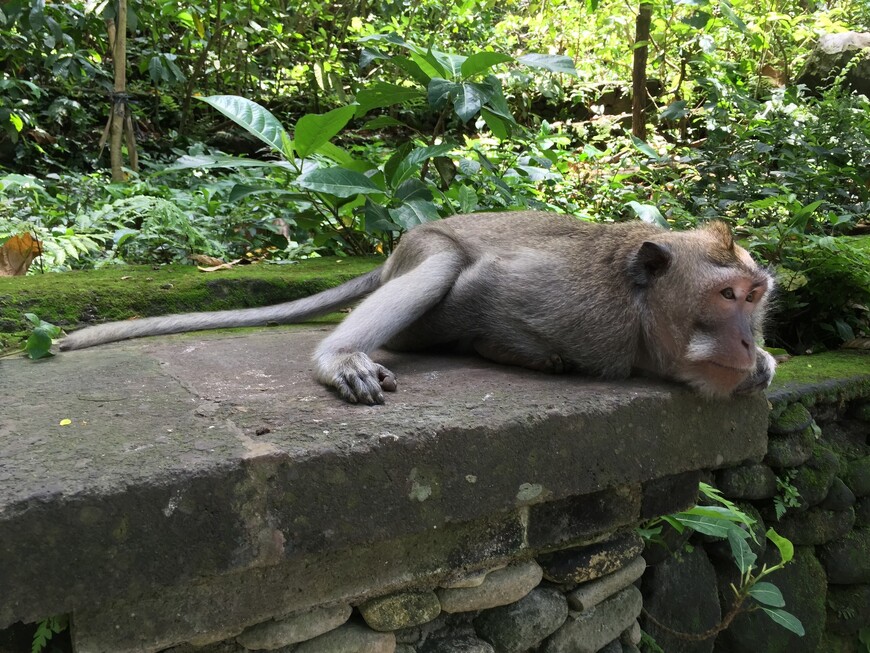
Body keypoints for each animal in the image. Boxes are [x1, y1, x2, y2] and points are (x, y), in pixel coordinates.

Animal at [63, 210, 784, 402]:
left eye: (755, 297)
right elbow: (483, 288)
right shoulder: (584, 312)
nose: (748, 341)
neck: (637, 316)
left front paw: (767, 366)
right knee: (441, 265)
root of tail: (390, 255)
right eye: (725, 295)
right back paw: (338, 358)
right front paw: (515, 350)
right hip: (422, 248)